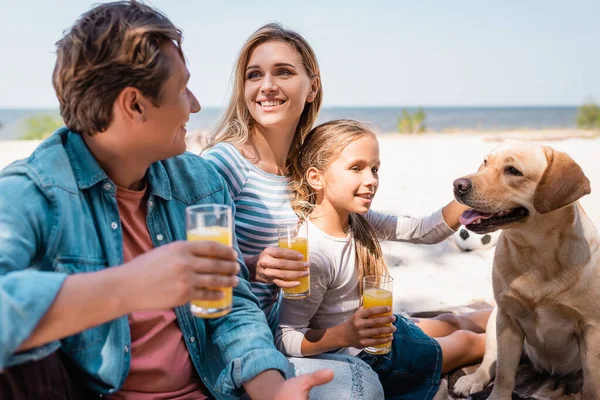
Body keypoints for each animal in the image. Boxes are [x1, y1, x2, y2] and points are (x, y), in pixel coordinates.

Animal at [452, 141, 596, 400]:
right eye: (485, 162)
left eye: (513, 171)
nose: (458, 184)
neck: (537, 253)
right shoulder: (507, 319)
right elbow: (504, 373)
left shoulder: (591, 329)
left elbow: (591, 384)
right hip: (494, 319)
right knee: (489, 363)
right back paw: (472, 379)